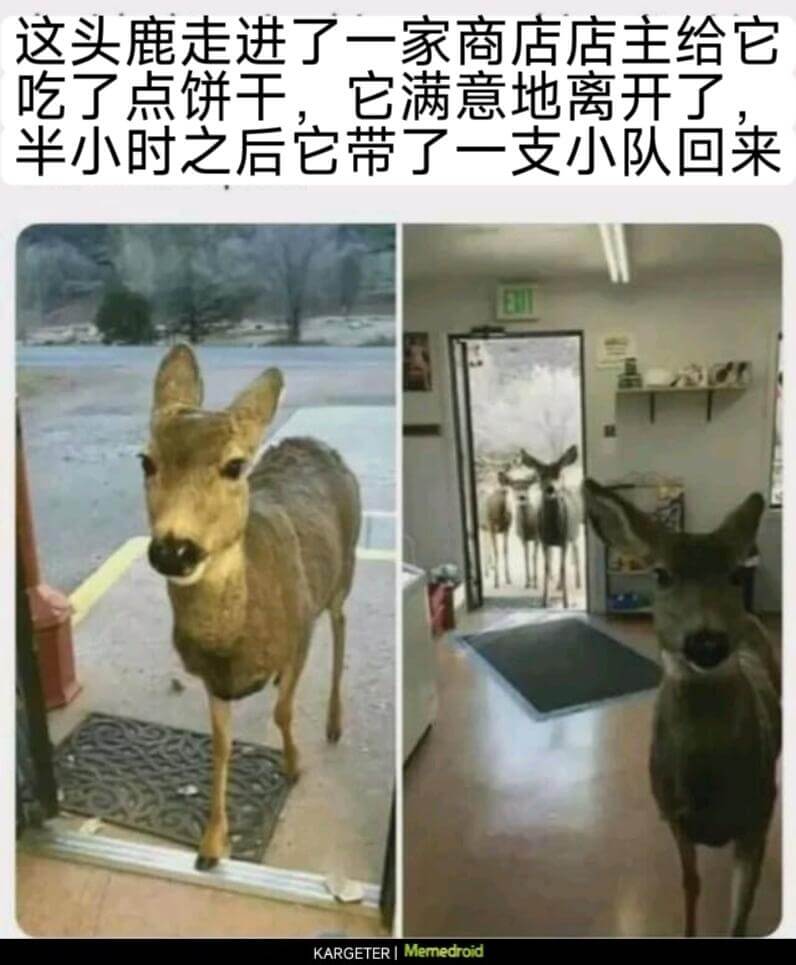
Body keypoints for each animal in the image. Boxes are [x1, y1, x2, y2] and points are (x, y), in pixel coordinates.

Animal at [140, 344, 361, 870]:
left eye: (235, 465)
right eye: (146, 461)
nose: (173, 549)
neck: (233, 641)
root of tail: (317, 443)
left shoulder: (299, 633)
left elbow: (282, 711)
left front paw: (294, 765)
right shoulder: (211, 678)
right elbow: (220, 745)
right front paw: (211, 845)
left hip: (344, 571)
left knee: (341, 623)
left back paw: (334, 723)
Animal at [519, 445, 583, 608]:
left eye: (558, 473)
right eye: (541, 474)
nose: (550, 488)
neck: (554, 529)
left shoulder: (564, 539)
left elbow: (562, 568)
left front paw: (566, 602)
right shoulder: (544, 541)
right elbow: (547, 567)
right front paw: (544, 600)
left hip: (574, 533)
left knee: (575, 552)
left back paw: (577, 583)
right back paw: (558, 586)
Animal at [583, 478, 781, 937]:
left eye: (734, 574)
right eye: (661, 574)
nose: (706, 641)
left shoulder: (760, 813)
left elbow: (741, 916)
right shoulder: (673, 816)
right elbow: (690, 884)